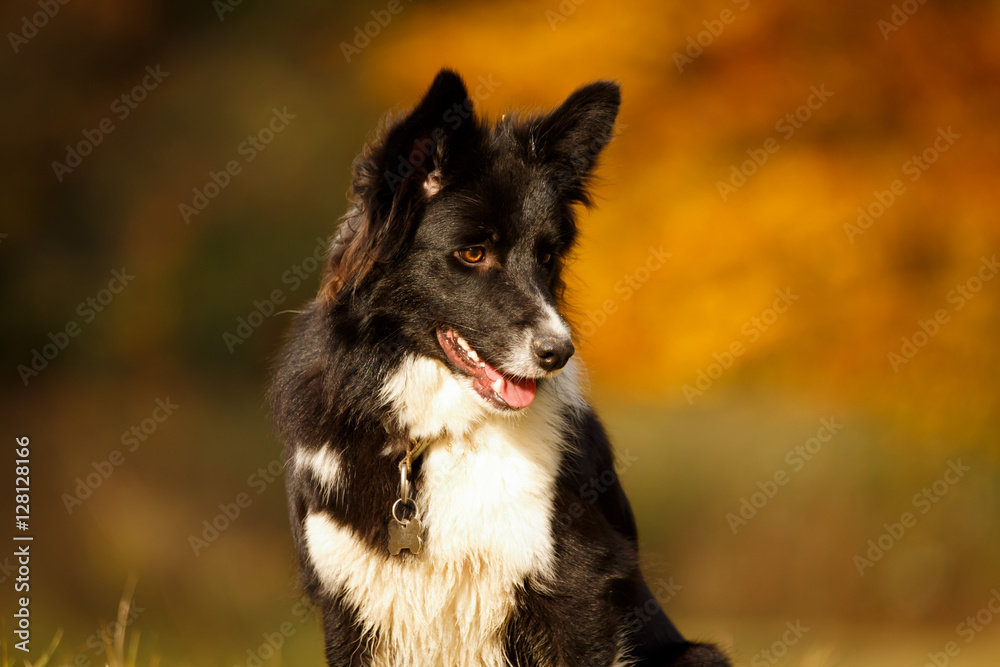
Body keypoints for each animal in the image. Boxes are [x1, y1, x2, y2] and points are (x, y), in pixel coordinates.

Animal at [270, 70, 732, 664]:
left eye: (547, 257)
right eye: (472, 253)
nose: (558, 353)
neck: (439, 438)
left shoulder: (577, 590)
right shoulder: (349, 598)